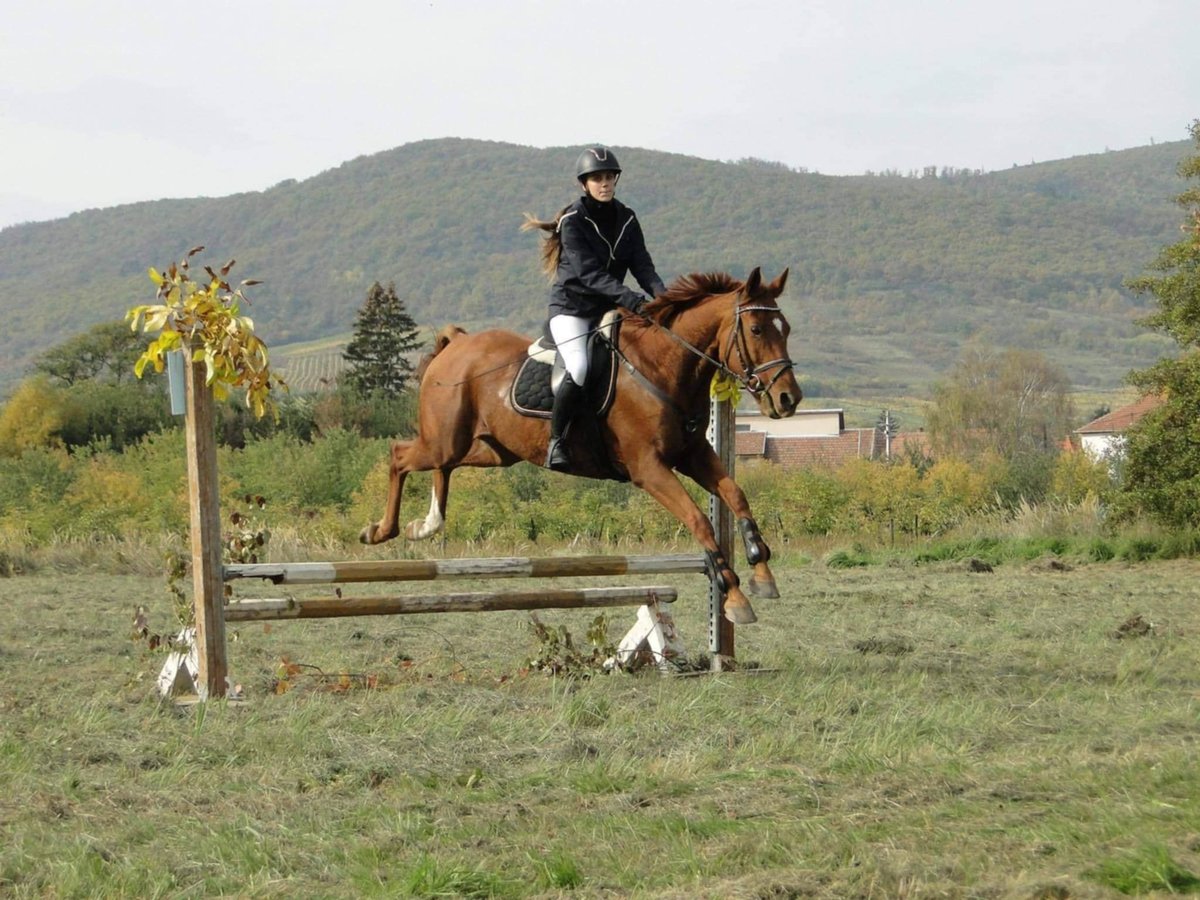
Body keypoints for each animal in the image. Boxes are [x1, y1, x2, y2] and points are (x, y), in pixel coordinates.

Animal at [360, 267, 801, 624]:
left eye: (787, 329)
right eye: (757, 330)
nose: (788, 399)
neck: (663, 365)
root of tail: (456, 345)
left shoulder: (693, 455)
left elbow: (736, 495)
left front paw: (762, 571)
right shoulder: (649, 468)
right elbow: (699, 520)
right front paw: (735, 597)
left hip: (490, 451)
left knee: (443, 466)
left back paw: (425, 525)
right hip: (445, 440)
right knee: (399, 456)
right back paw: (381, 530)